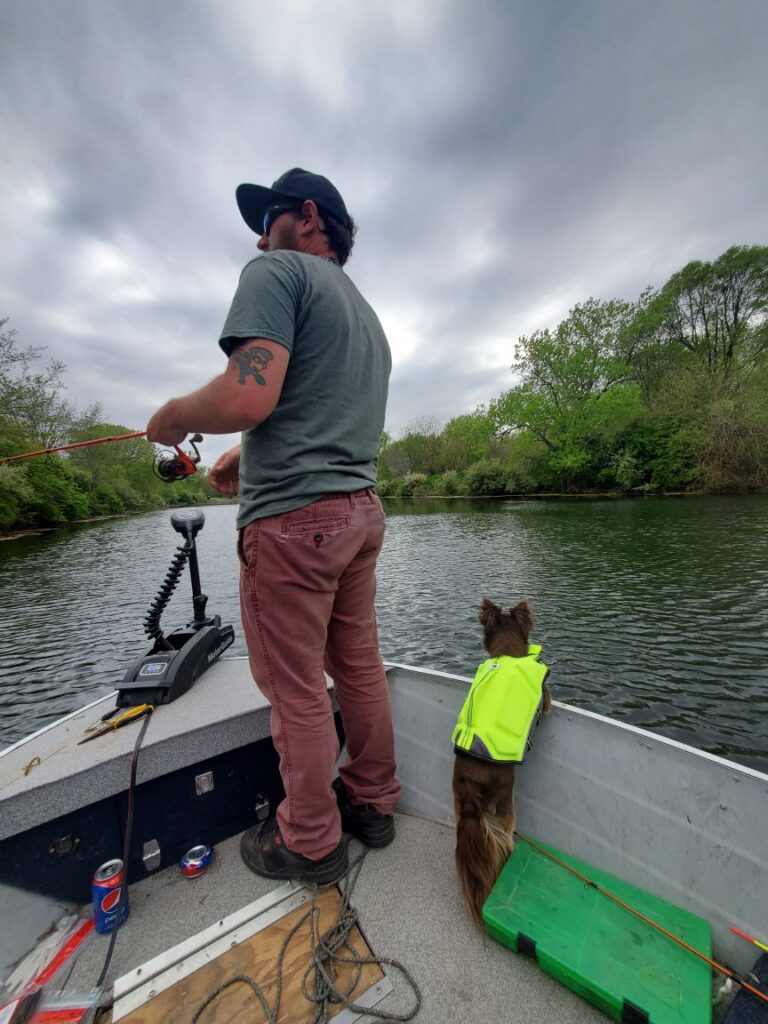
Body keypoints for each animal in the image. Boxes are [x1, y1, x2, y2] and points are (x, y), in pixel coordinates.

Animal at [450, 598, 552, 925]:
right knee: (504, 832)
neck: (507, 653)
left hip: (458, 805)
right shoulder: (545, 693)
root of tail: (471, 786)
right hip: (506, 805)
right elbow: (549, 702)